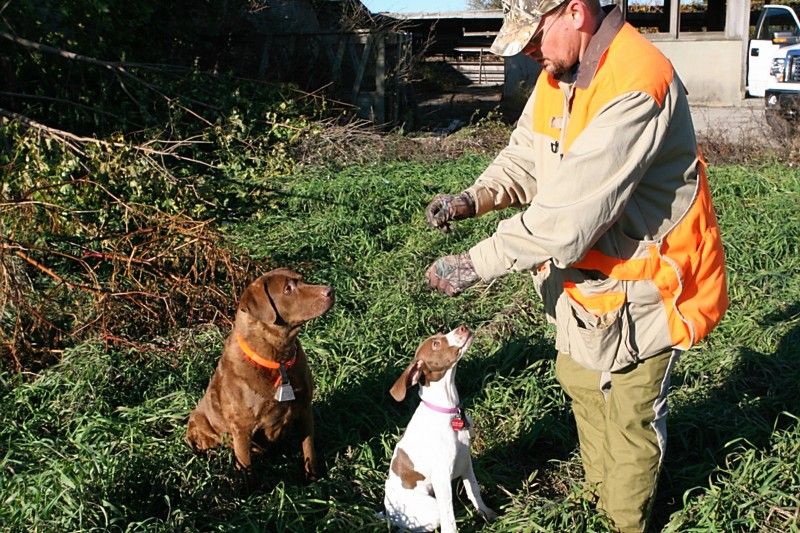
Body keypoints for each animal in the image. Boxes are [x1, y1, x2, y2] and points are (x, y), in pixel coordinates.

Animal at [384, 324, 496, 532]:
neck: (447, 408)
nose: (463, 327)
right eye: (436, 344)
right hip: (430, 507)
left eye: (441, 334)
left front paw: (486, 513)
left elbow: (474, 489)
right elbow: (449, 518)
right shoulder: (442, 477)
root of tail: (387, 513)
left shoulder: (465, 460)